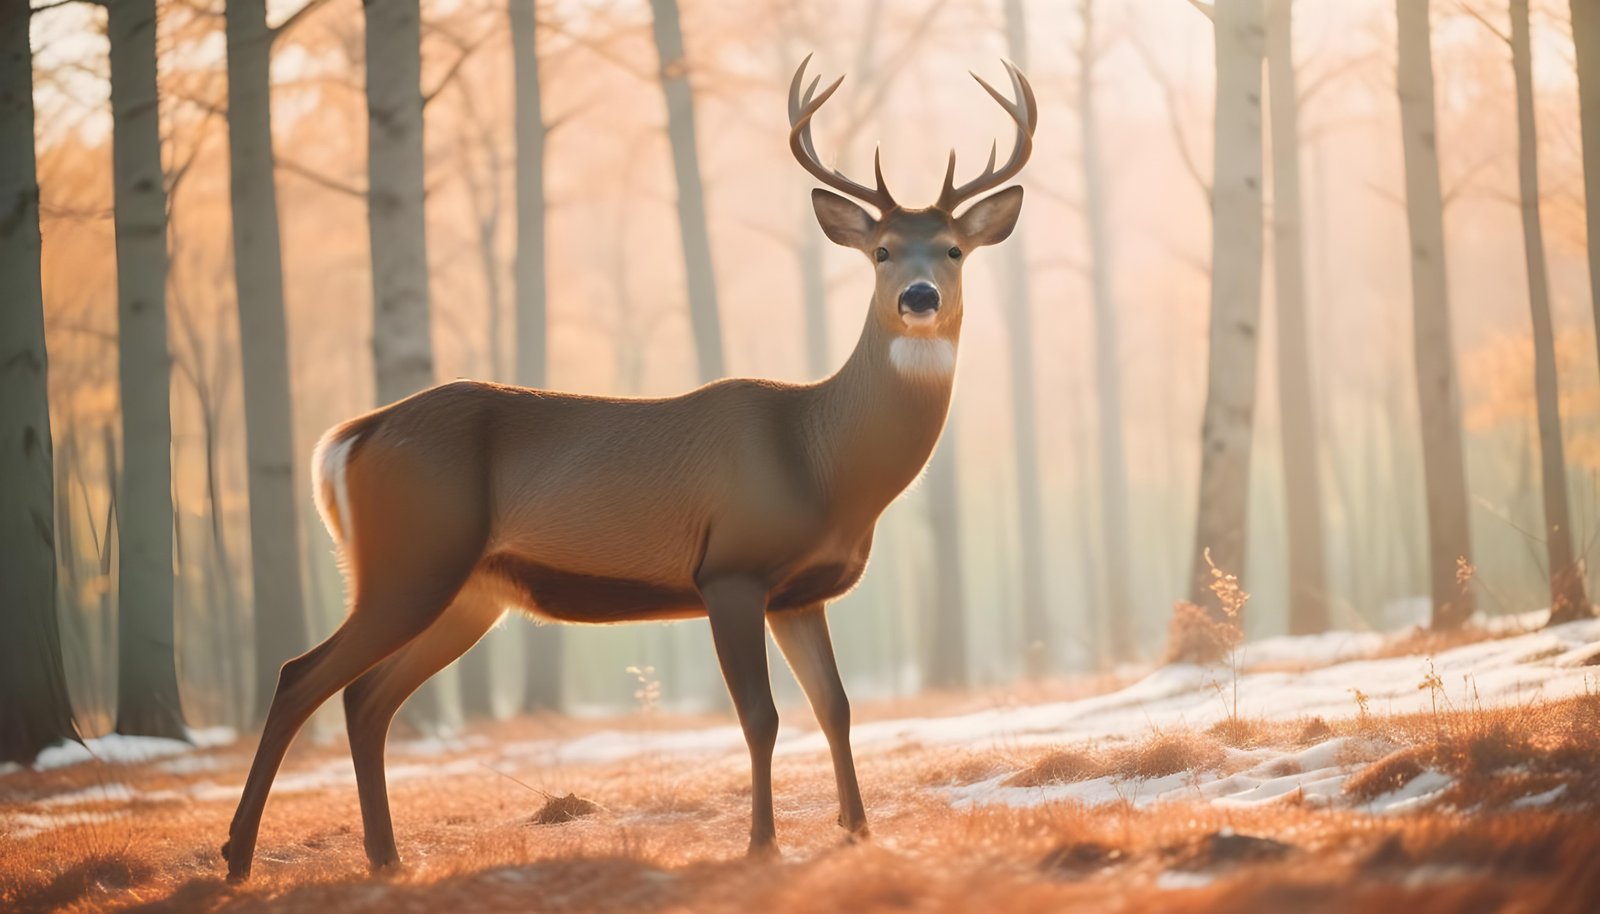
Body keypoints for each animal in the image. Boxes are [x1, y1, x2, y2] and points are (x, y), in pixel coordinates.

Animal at [221, 55, 1035, 882]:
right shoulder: (731, 569)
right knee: (301, 676)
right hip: (411, 558)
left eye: (954, 250)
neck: (821, 459)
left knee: (367, 698)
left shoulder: (800, 595)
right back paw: (239, 855)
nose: (919, 297)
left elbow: (835, 708)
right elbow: (761, 716)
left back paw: (385, 858)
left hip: (468, 590)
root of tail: (351, 437)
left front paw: (858, 832)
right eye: (881, 251)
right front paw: (762, 842)